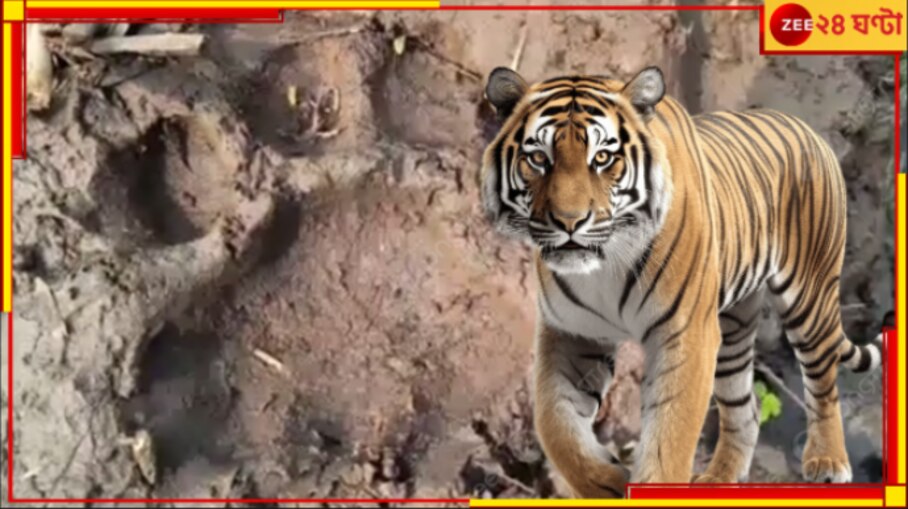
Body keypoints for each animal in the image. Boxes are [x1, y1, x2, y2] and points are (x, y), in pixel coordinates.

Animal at [479, 65, 885, 497]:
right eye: (538, 158)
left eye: (603, 158)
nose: (569, 222)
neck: (603, 266)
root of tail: (805, 126)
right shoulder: (572, 333)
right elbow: (555, 424)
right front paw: (607, 483)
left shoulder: (685, 333)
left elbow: (670, 436)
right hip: (732, 325)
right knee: (746, 407)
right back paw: (719, 479)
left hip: (809, 296)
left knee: (824, 383)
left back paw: (828, 461)